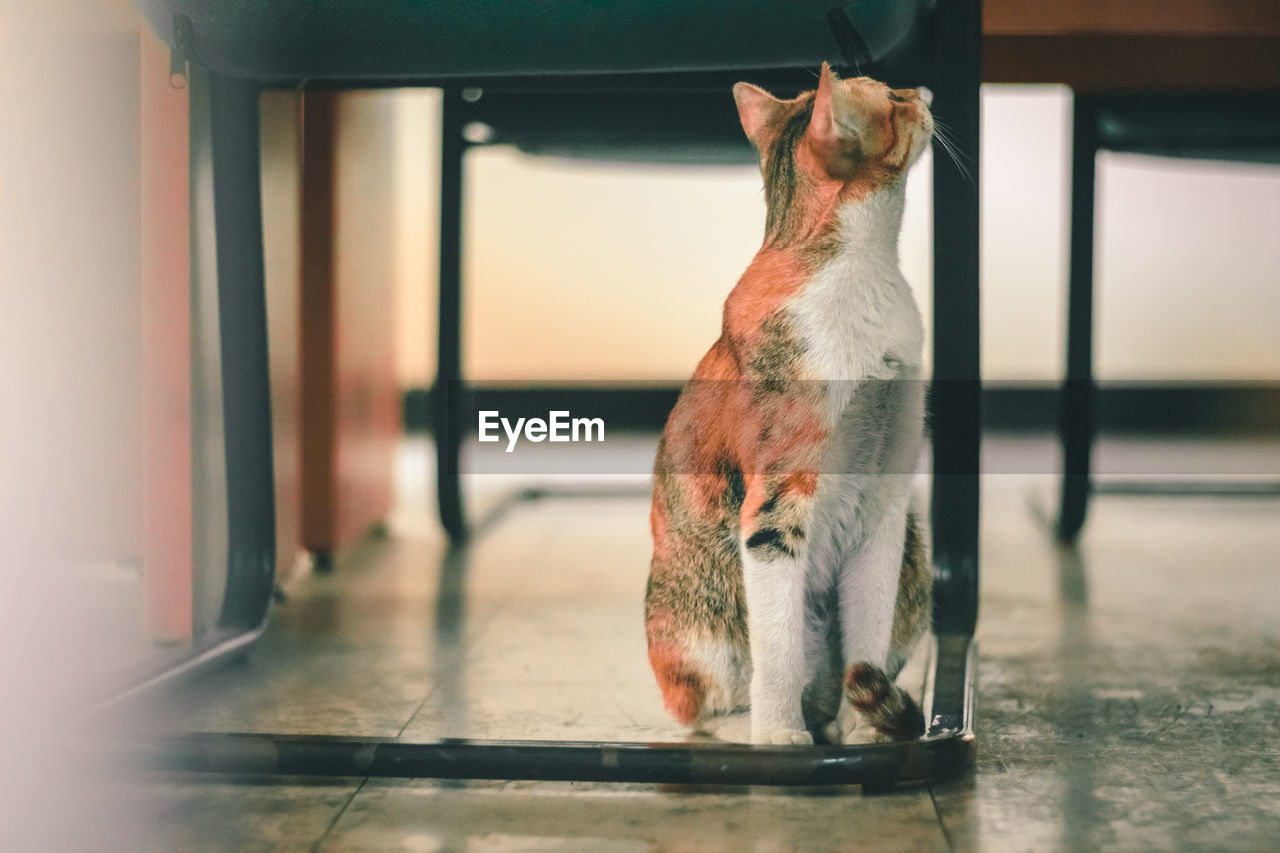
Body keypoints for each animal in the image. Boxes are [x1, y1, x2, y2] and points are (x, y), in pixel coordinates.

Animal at [645, 64, 936, 742]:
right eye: (894, 98)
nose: (924, 93)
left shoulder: (886, 501)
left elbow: (867, 635)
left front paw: (866, 731)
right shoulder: (777, 504)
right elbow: (777, 653)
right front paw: (781, 738)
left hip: (915, 551)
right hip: (695, 620)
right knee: (703, 707)